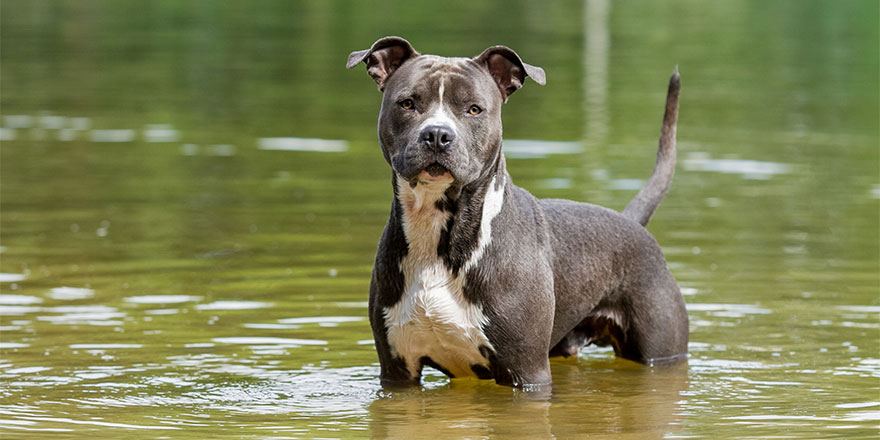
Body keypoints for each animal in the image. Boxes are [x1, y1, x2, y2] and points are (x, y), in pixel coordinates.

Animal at [346, 37, 688, 388]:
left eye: (474, 108)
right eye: (407, 103)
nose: (438, 135)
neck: (438, 230)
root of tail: (631, 222)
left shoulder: (526, 371)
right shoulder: (397, 371)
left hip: (660, 350)